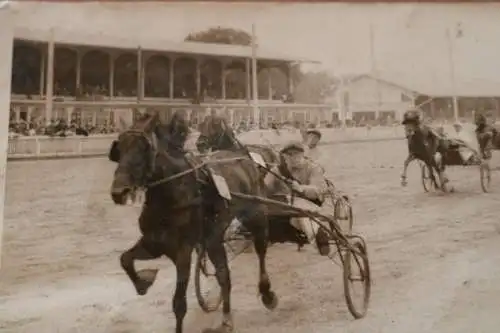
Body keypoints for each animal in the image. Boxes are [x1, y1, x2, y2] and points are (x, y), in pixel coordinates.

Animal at [108, 111, 278, 332]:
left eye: (144, 147)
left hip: (255, 215)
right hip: (213, 238)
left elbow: (179, 303)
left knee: (261, 249)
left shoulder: (183, 251)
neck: (171, 194)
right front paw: (143, 282)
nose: (119, 192)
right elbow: (125, 259)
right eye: (119, 147)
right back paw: (226, 318)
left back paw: (267, 293)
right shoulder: (154, 243)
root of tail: (240, 154)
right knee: (224, 274)